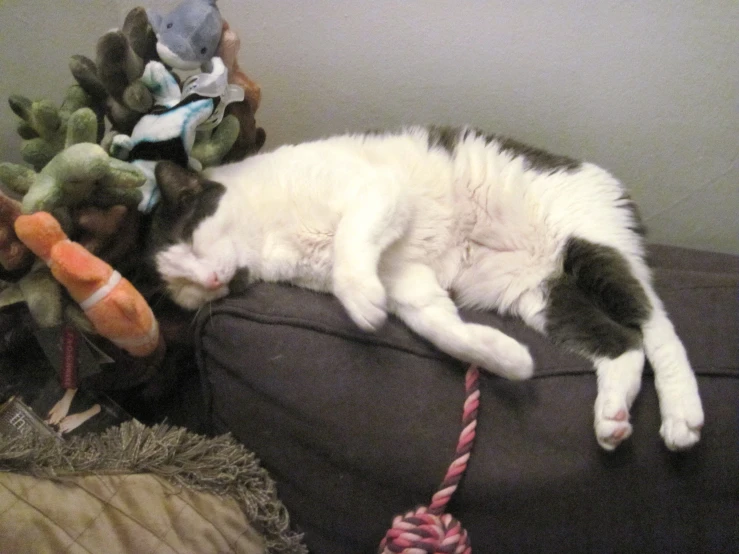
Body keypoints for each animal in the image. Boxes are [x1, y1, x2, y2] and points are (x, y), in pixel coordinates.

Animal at [149, 125, 704, 448]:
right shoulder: (405, 277)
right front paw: (505, 359)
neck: (271, 240)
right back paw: (612, 415)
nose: (211, 280)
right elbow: (443, 329)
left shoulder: (378, 191)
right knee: (623, 343)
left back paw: (681, 415)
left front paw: (360, 301)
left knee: (657, 327)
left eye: (189, 240)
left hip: (590, 248)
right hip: (541, 296)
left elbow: (351, 243)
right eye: (183, 289)